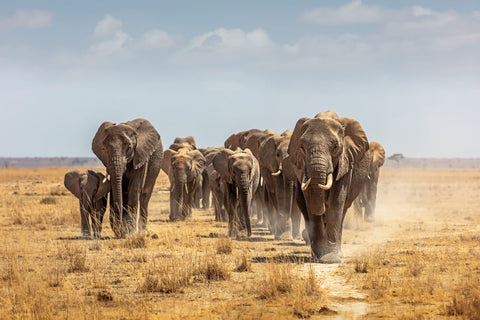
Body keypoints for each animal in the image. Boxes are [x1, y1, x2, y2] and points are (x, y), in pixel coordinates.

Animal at [286, 110, 370, 262]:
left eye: (335, 146)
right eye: (302, 147)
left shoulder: (345, 160)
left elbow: (337, 201)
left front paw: (330, 259)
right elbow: (310, 201)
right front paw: (318, 257)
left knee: (343, 210)